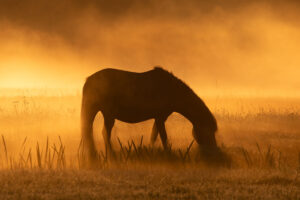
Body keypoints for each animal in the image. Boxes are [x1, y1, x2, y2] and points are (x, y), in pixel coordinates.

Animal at [81, 66, 218, 163]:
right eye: (208, 131)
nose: (213, 152)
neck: (172, 89)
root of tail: (88, 80)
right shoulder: (160, 117)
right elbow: (163, 137)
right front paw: (169, 156)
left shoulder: (159, 118)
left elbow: (154, 136)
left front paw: (151, 152)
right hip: (107, 114)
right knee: (104, 133)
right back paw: (110, 156)